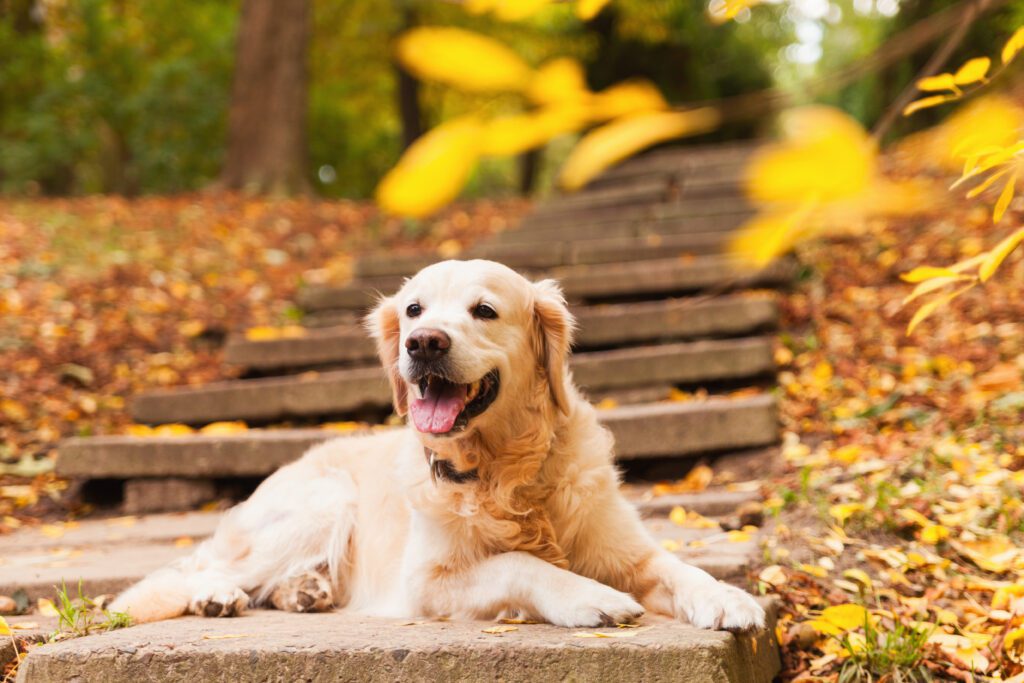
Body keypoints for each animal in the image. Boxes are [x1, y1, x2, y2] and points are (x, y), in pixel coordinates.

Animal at [114, 260, 770, 630]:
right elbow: (517, 562)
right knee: (196, 568)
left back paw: (305, 590)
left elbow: (680, 567)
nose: (423, 342)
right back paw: (218, 595)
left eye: (484, 310)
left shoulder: (627, 551)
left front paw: (728, 598)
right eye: (413, 309)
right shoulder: (425, 583)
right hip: (323, 501)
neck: (504, 470)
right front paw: (588, 597)